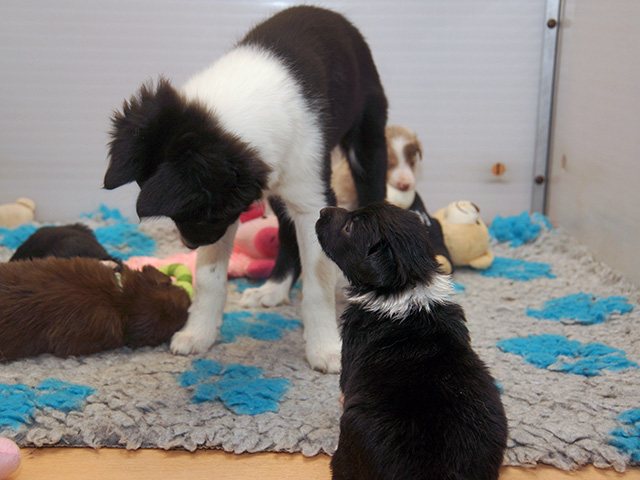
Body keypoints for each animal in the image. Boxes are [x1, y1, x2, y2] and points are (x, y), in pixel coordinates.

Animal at [103, 6, 389, 372]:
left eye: (204, 213)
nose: (190, 244)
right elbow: (209, 276)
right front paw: (199, 333)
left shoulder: (312, 202)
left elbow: (318, 285)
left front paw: (325, 349)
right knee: (285, 235)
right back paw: (274, 289)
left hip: (368, 143)